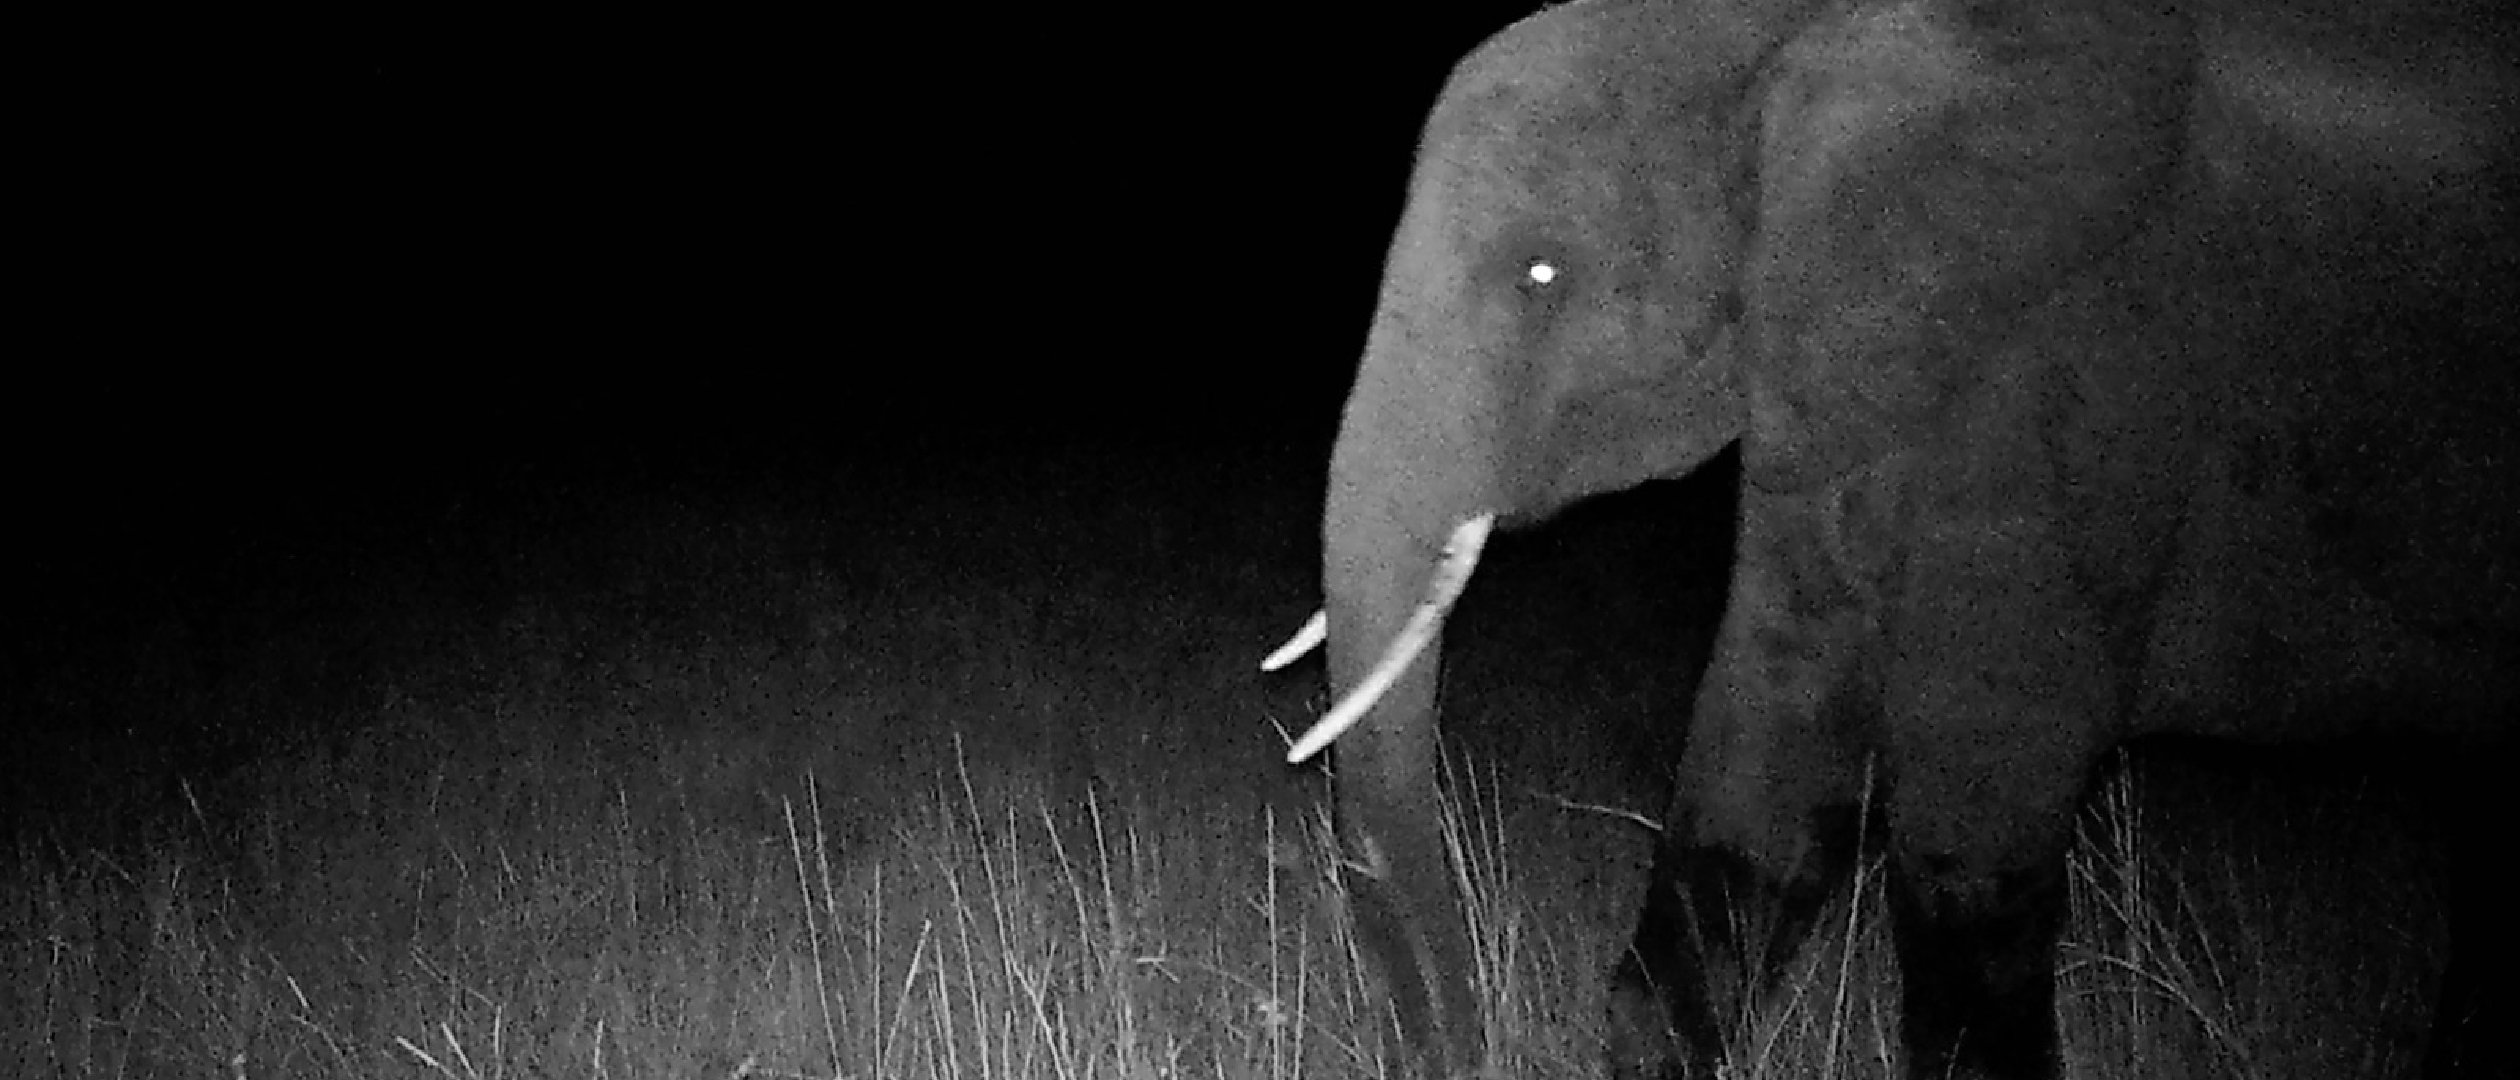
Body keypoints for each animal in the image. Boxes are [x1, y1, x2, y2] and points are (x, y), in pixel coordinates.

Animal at [1265, 0, 2518, 1077]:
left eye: (1540, 273)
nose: (1468, 1042)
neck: (1788, 32)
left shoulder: (2071, 367)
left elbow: (1975, 812)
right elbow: (1770, 759)